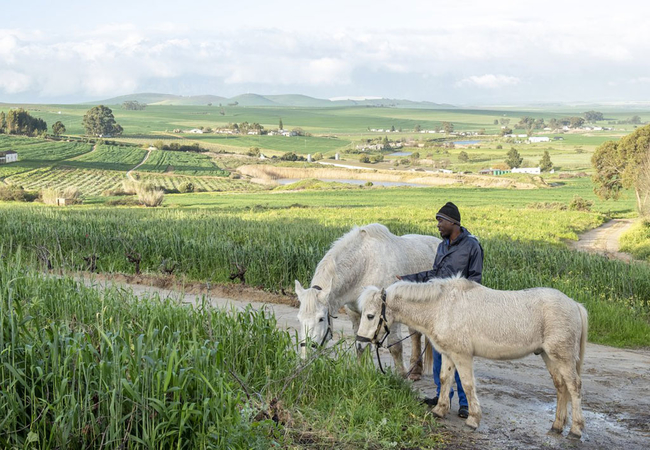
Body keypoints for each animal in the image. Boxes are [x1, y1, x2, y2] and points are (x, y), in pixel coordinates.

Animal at [294, 223, 440, 378]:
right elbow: (360, 345)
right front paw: (361, 372)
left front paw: (401, 375)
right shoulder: (355, 314)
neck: (364, 266)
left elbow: (395, 346)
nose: (305, 358)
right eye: (299, 319)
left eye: (321, 319)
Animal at [356, 278, 584, 440]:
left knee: (573, 387)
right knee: (561, 387)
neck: (443, 307)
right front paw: (439, 410)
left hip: (562, 357)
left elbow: (466, 385)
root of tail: (575, 304)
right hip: (548, 356)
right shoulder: (448, 355)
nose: (359, 342)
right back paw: (557, 426)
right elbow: (445, 379)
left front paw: (473, 419)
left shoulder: (462, 356)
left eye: (370, 316)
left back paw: (576, 429)